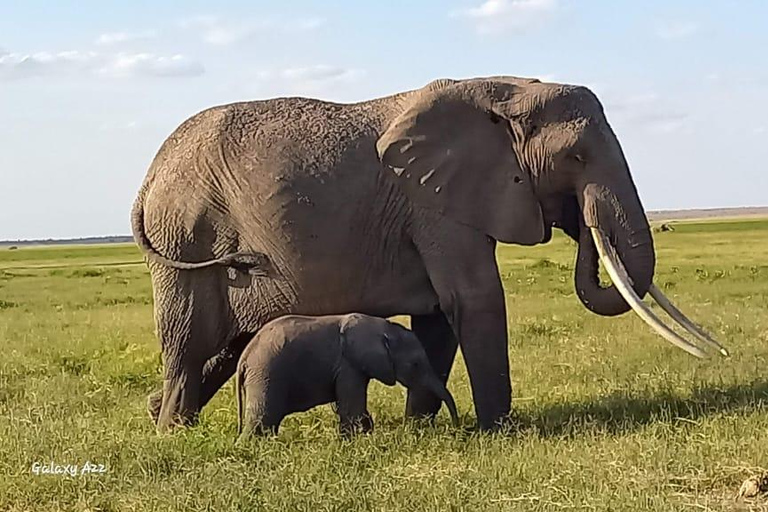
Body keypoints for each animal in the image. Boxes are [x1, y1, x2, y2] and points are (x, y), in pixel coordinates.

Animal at [237, 312, 460, 440]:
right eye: (415, 365)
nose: (457, 430)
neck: (385, 328)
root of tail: (244, 357)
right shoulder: (348, 364)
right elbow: (352, 407)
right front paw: (355, 442)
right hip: (265, 374)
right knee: (261, 418)